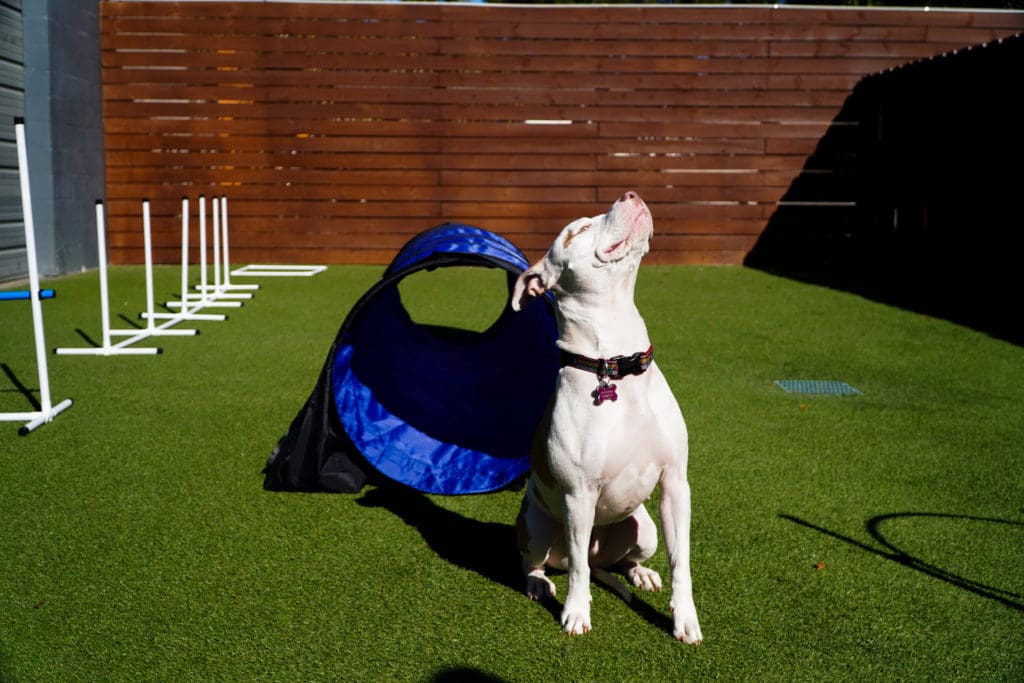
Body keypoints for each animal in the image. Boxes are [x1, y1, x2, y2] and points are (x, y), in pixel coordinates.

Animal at [512, 192, 704, 647]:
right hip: (539, 526)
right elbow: (579, 569)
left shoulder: (676, 484)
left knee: (618, 561)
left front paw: (685, 619)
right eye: (578, 230)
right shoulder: (578, 495)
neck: (616, 362)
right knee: (549, 562)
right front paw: (576, 613)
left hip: (645, 529)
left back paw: (641, 573)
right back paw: (539, 584)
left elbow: (682, 562)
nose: (629, 194)